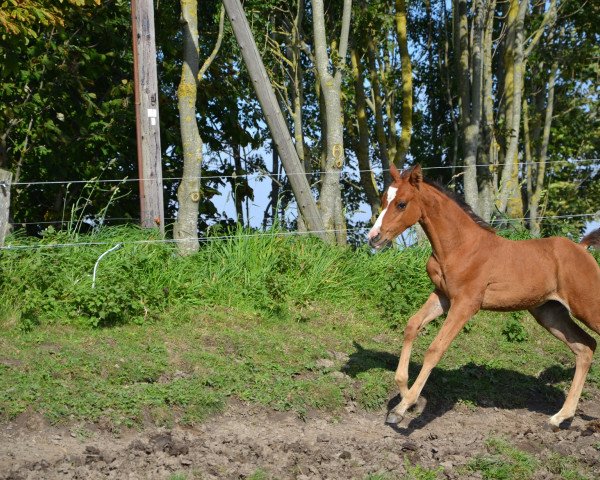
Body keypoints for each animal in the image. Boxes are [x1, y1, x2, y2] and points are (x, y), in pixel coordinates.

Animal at [368, 164, 600, 428]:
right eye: (384, 200)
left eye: (401, 204)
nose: (373, 237)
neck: (460, 246)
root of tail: (582, 250)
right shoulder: (443, 297)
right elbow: (412, 325)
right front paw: (402, 404)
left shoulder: (466, 304)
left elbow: (435, 349)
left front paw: (407, 404)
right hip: (550, 313)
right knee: (585, 347)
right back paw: (559, 417)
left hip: (586, 307)